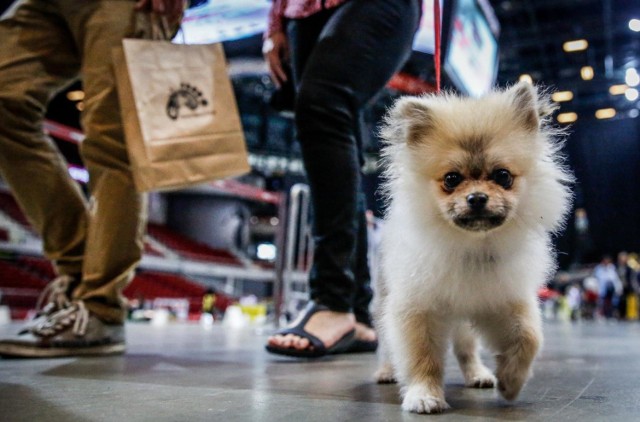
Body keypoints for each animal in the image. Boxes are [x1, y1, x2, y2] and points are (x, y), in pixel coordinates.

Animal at [372, 81, 572, 414]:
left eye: (502, 176)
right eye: (452, 179)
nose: (477, 198)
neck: (473, 247)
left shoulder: (505, 299)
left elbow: (530, 337)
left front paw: (511, 381)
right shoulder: (416, 308)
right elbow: (421, 356)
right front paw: (424, 394)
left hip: (464, 323)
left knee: (466, 349)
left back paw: (478, 374)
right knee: (387, 345)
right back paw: (386, 371)